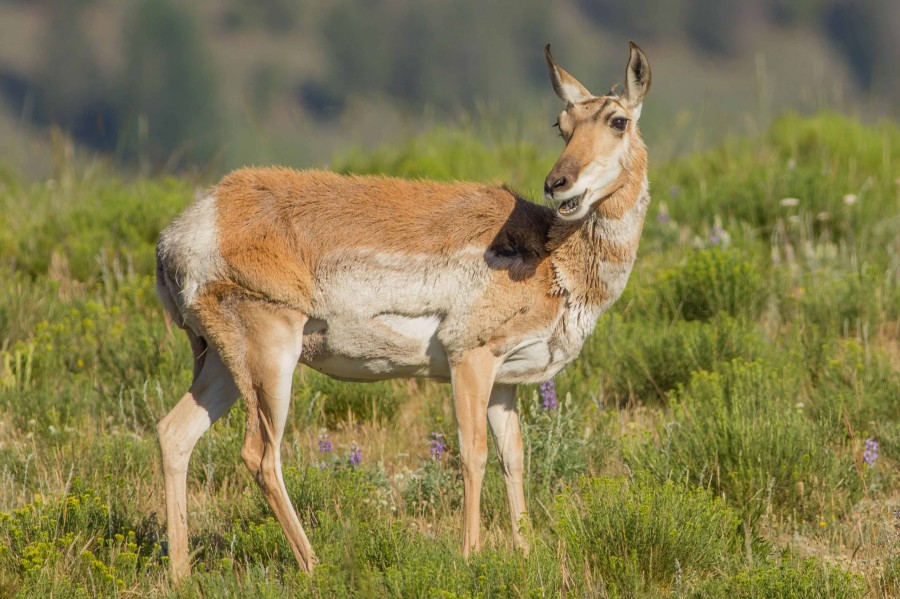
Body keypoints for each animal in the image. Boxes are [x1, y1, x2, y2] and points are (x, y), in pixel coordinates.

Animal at [153, 42, 648, 580]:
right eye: (561, 124)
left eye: (618, 120)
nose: (558, 183)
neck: (553, 255)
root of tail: (181, 232)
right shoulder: (470, 357)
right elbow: (472, 453)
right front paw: (470, 554)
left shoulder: (507, 381)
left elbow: (513, 457)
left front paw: (524, 551)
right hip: (270, 355)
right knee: (260, 454)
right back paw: (315, 564)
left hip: (222, 363)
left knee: (174, 433)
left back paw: (181, 573)